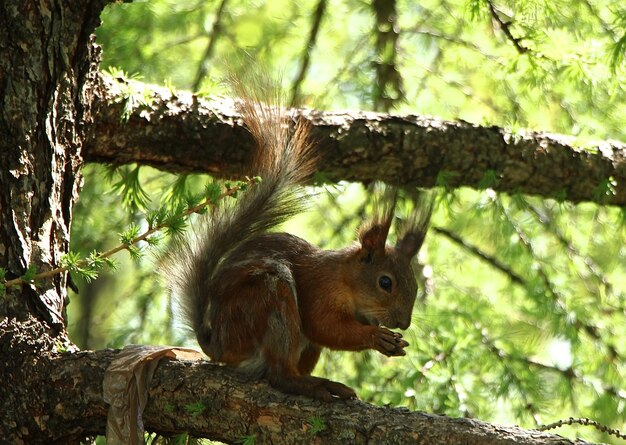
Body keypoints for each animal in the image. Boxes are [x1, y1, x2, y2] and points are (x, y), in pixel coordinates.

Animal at [166, 81, 428, 400]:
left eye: (415, 285)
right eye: (385, 282)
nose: (404, 323)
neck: (345, 279)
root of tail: (219, 346)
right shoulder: (319, 291)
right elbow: (323, 327)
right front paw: (376, 337)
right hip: (268, 298)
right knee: (280, 375)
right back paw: (315, 385)